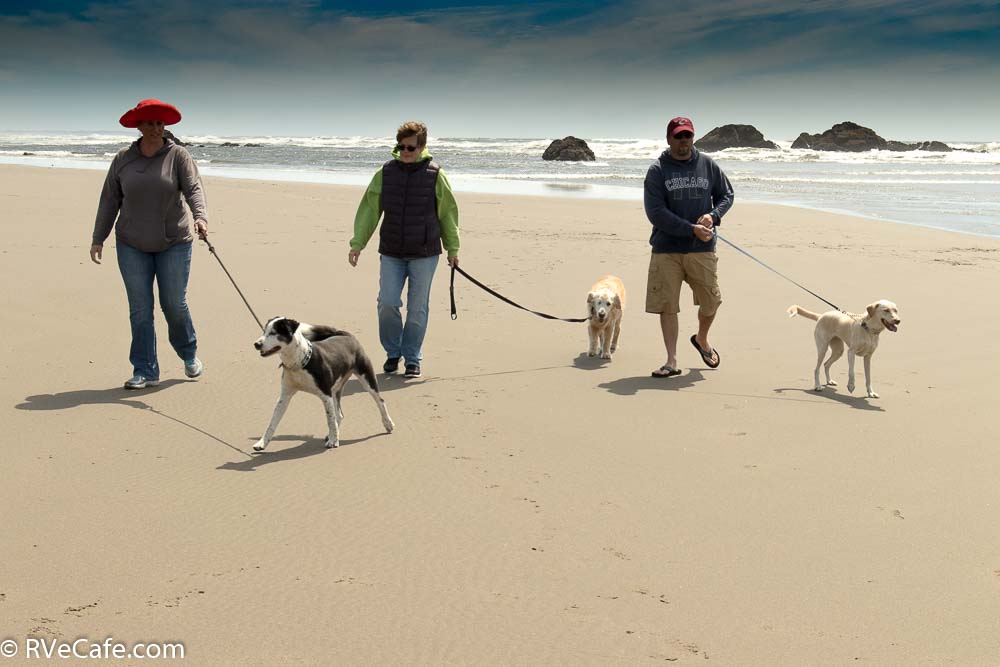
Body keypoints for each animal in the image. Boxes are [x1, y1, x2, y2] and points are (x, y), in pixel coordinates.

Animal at [252, 316, 392, 452]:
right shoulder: (284, 396)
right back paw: (332, 434)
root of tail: (346, 335)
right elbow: (272, 422)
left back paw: (388, 424)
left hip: (366, 378)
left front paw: (333, 441)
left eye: (274, 333)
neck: (299, 362)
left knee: (380, 401)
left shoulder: (325, 394)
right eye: (264, 331)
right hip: (335, 389)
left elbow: (330, 419)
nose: (256, 344)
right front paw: (261, 443)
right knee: (339, 415)